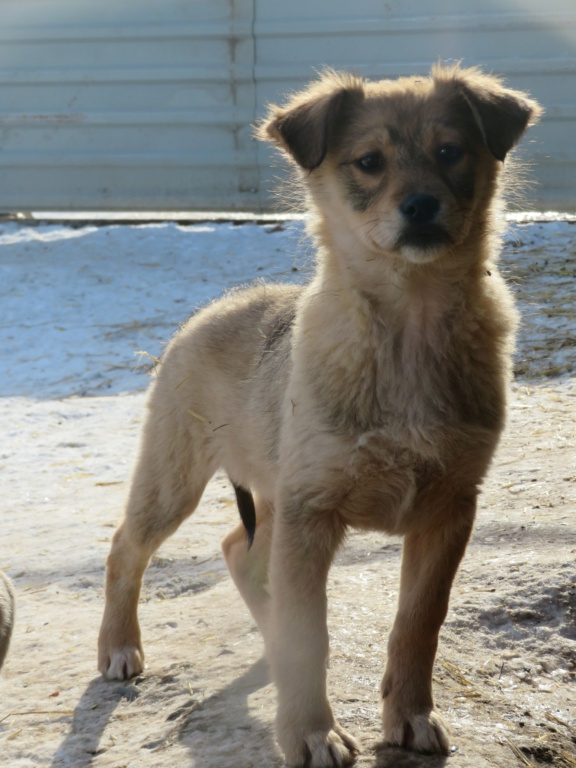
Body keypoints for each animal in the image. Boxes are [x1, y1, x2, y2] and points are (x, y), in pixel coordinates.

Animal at [97, 64, 544, 760]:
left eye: (450, 152)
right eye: (369, 162)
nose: (420, 206)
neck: (409, 326)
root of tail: (219, 305)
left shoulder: (448, 507)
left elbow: (418, 622)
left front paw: (410, 716)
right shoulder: (312, 511)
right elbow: (310, 635)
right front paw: (310, 732)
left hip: (272, 498)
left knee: (239, 551)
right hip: (177, 477)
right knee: (126, 546)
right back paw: (119, 646)